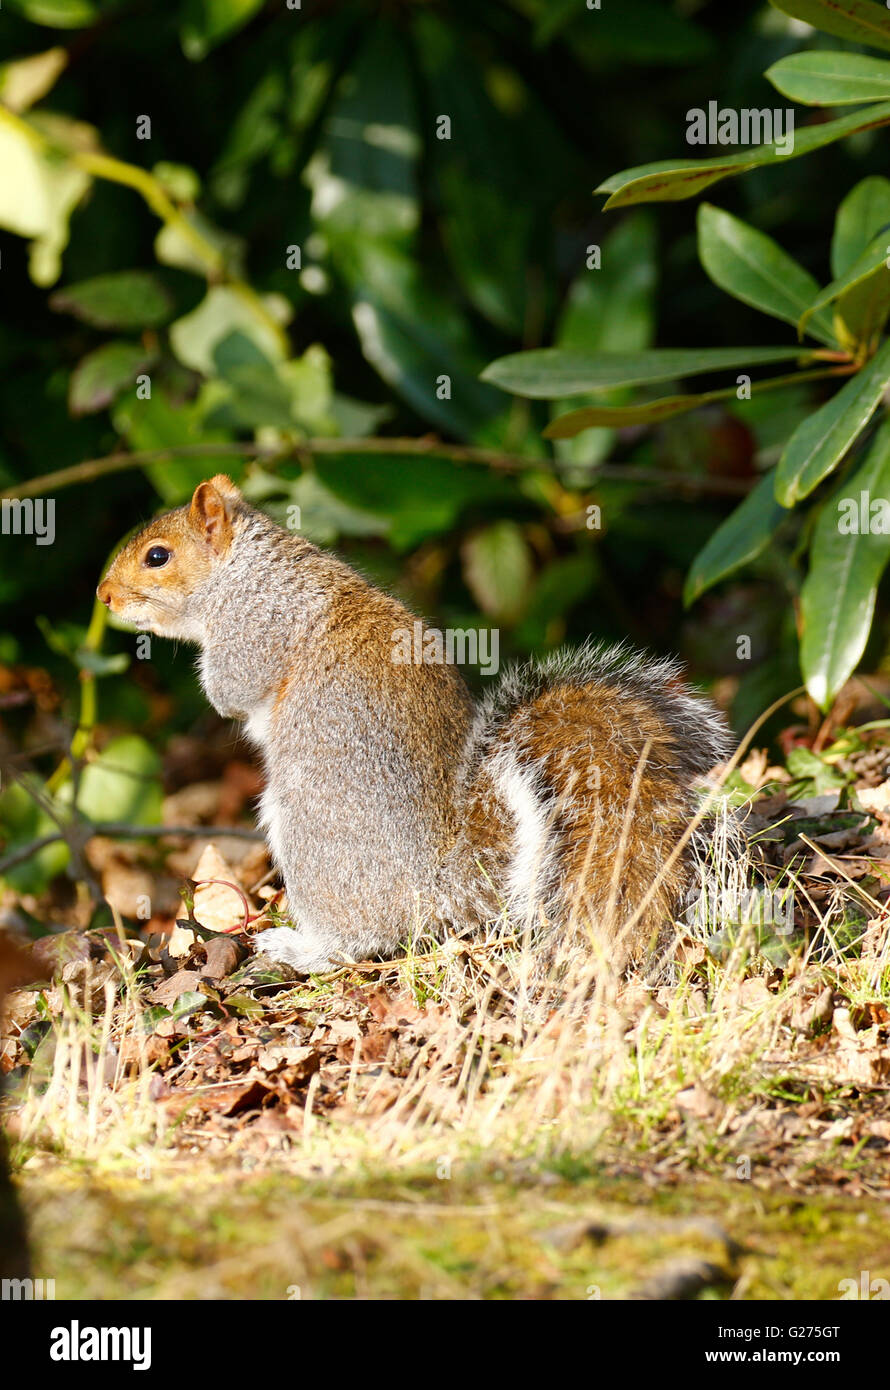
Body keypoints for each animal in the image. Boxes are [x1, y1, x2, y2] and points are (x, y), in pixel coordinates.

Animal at [97, 478, 728, 978]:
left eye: (158, 556)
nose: (103, 596)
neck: (244, 567)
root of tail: (441, 880)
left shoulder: (252, 628)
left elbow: (231, 689)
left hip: (307, 832)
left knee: (362, 939)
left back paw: (300, 948)